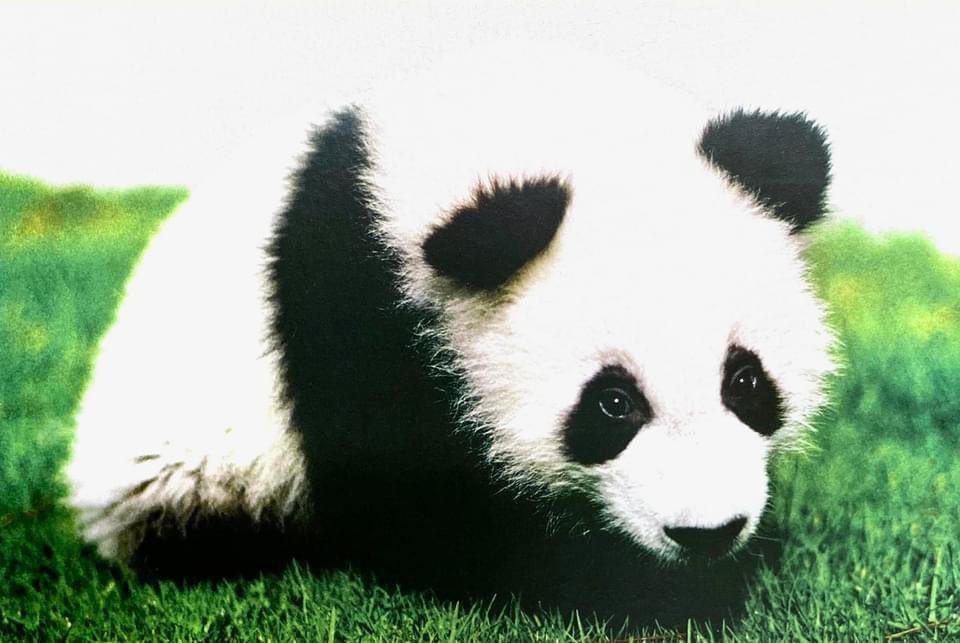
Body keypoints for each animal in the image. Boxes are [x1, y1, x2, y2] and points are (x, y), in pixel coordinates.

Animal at [66, 47, 834, 621]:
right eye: (613, 403)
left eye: (746, 380)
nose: (708, 533)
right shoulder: (356, 306)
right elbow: (403, 494)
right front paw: (609, 584)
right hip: (182, 464)